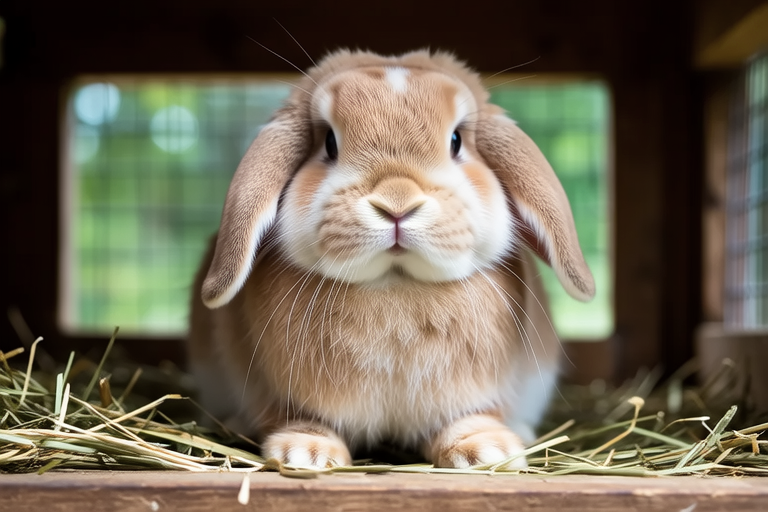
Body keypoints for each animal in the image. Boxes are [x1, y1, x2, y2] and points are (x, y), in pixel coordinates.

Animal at [187, 49, 595, 470]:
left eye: (456, 141)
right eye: (329, 142)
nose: (397, 204)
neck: (394, 283)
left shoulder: (474, 398)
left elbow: (472, 418)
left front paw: (487, 452)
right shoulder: (285, 396)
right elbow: (298, 419)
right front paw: (304, 453)